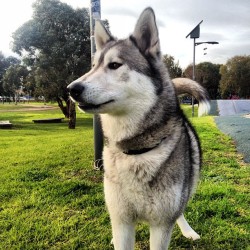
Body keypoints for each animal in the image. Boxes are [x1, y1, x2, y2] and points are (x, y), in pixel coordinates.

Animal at [67, 6, 210, 249]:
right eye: (93, 67)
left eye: (115, 65)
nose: (71, 89)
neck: (135, 150)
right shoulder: (122, 219)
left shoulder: (161, 225)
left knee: (180, 211)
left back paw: (187, 230)